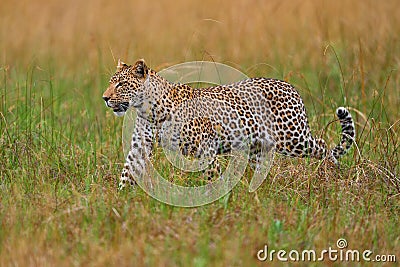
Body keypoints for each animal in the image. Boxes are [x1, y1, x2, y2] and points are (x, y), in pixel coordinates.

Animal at [101, 59, 354, 189]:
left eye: (121, 84)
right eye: (112, 82)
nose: (104, 98)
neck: (146, 108)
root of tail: (290, 86)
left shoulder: (204, 147)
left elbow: (211, 175)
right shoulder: (139, 146)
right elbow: (128, 172)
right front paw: (122, 202)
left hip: (293, 138)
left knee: (322, 146)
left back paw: (332, 173)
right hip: (259, 145)